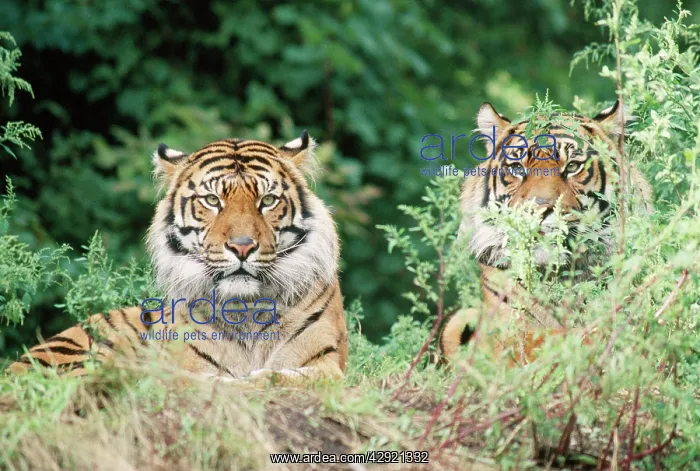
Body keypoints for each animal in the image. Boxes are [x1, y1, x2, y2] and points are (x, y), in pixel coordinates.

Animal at [7, 131, 348, 383]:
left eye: (267, 200)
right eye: (212, 200)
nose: (241, 247)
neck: (246, 308)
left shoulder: (326, 362)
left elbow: (291, 377)